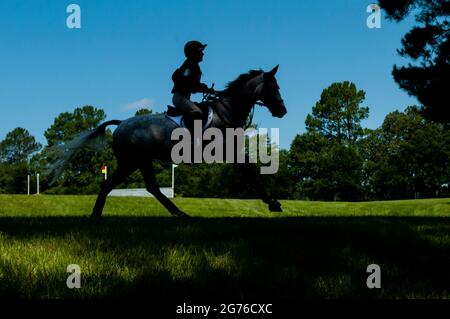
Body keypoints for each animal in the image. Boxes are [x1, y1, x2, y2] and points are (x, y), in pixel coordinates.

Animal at [47, 66, 286, 219]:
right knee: (114, 185)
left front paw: (271, 202)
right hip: (132, 162)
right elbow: (250, 172)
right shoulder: (227, 151)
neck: (226, 111)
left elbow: (248, 170)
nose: (282, 110)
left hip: (139, 162)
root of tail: (121, 124)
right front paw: (273, 203)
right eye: (274, 87)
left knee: (149, 187)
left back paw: (178, 213)